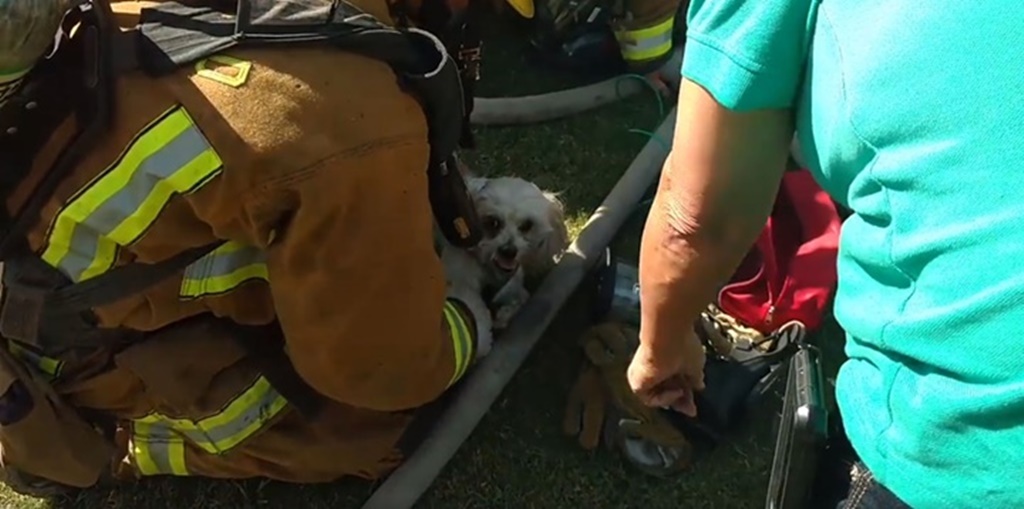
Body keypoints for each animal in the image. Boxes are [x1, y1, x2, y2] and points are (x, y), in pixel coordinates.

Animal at [440, 174, 569, 356]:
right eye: (493, 222)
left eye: (527, 225)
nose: (508, 251)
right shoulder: (458, 278)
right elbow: (470, 306)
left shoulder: (512, 282)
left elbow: (522, 296)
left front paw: (506, 313)